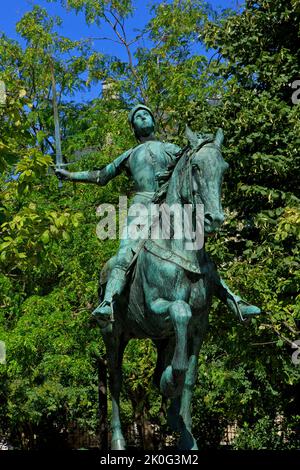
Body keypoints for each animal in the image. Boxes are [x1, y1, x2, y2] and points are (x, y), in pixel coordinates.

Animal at [97, 126, 229, 450]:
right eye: (196, 167)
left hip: (160, 339)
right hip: (114, 334)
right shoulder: (156, 308)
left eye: (224, 168)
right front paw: (170, 384)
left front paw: (183, 430)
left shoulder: (199, 325)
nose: (215, 218)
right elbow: (180, 311)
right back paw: (118, 440)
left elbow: (189, 377)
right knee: (115, 380)